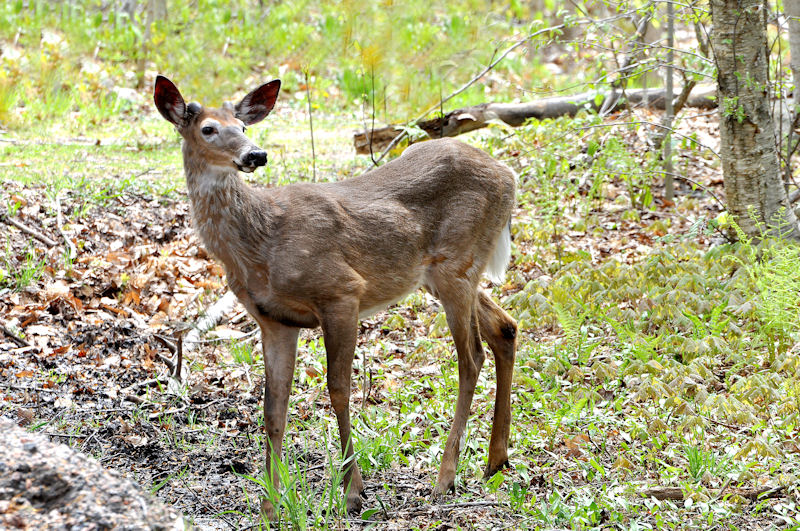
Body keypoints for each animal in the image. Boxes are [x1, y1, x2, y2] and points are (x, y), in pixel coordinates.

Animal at [153, 76, 520, 520]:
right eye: (208, 128)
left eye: (241, 126)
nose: (255, 154)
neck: (261, 241)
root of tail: (509, 175)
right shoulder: (274, 320)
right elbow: (273, 408)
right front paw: (269, 506)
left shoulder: (342, 292)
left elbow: (339, 390)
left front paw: (353, 493)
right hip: (444, 274)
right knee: (505, 327)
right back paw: (495, 460)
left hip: (456, 264)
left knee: (471, 358)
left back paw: (445, 478)